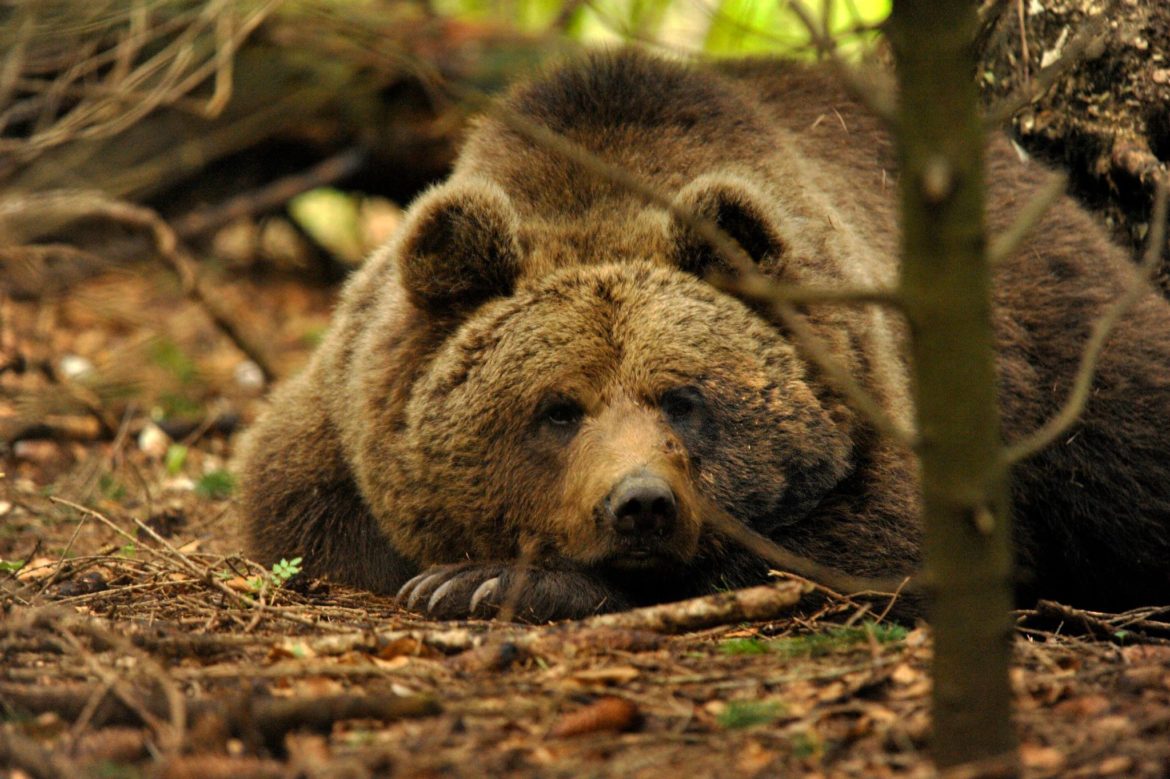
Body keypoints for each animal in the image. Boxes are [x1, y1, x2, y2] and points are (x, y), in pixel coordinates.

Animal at [237, 47, 1170, 617]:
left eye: (683, 398)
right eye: (557, 408)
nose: (641, 503)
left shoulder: (872, 394)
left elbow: (860, 543)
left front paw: (487, 582)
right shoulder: (341, 420)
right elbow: (307, 520)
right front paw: (459, 576)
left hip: (1060, 349)